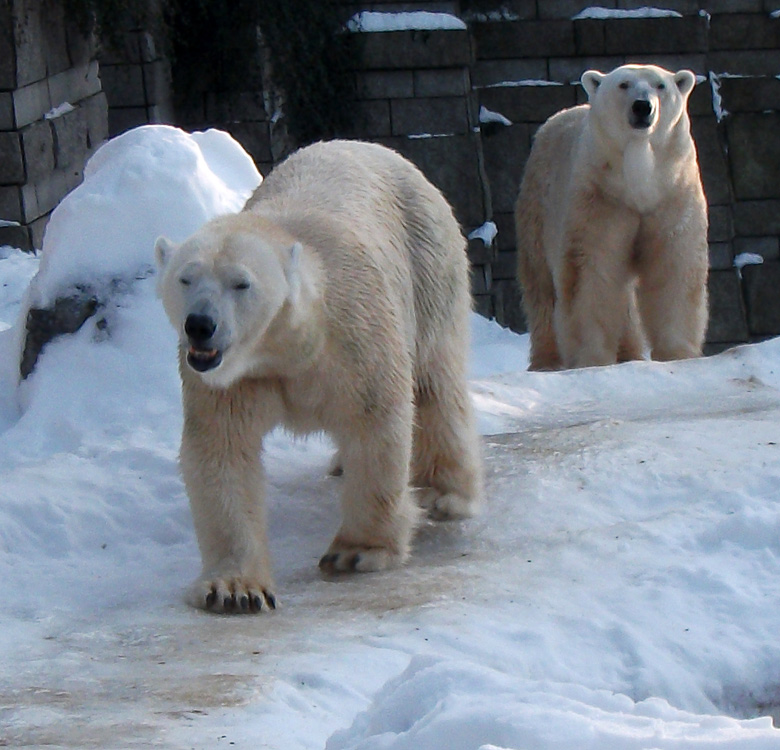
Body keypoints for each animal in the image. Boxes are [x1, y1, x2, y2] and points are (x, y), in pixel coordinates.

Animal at [155, 141, 482, 616]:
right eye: (185, 277)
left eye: (241, 283)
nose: (200, 324)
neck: (288, 346)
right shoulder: (231, 381)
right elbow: (222, 452)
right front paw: (234, 589)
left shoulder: (355, 337)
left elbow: (376, 423)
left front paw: (358, 551)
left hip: (428, 263)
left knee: (436, 382)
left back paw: (445, 493)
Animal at [516, 63, 708, 372]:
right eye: (623, 84)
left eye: (660, 85)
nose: (642, 107)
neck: (637, 181)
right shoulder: (600, 197)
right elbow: (591, 271)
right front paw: (591, 359)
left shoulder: (672, 192)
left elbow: (674, 264)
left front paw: (679, 353)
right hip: (537, 206)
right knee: (541, 285)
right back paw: (547, 361)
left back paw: (630, 353)